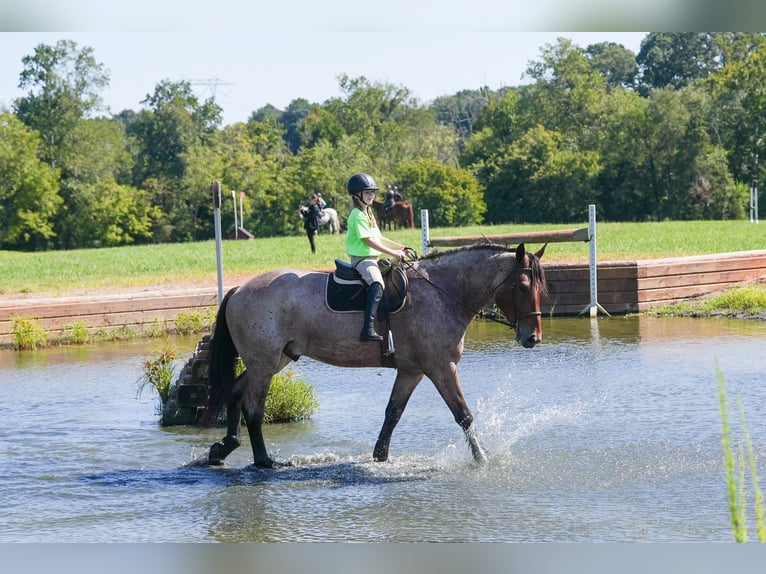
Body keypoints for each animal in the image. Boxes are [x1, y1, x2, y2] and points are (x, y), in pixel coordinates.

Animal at [204, 242, 547, 468]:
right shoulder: (441, 367)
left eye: (539, 288)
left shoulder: (411, 371)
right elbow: (463, 414)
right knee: (253, 408)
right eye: (522, 285)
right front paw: (482, 458)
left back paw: (224, 448)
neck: (442, 292)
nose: (533, 338)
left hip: (274, 360)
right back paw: (263, 460)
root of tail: (239, 289)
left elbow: (393, 412)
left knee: (236, 392)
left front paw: (380, 456)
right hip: (264, 364)